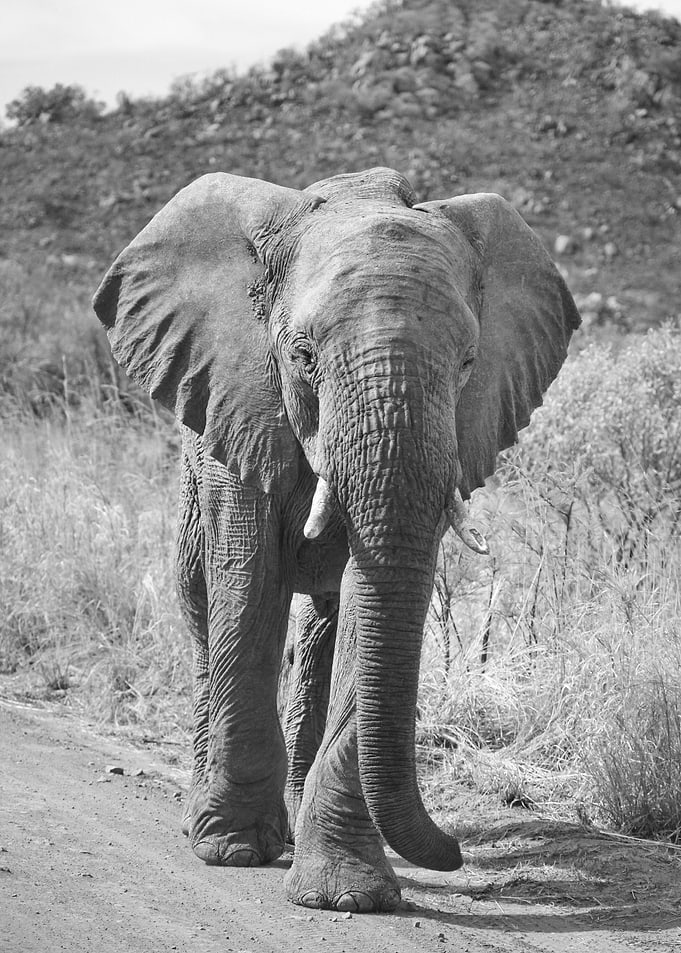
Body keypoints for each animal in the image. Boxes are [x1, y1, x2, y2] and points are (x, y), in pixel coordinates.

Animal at [93, 166, 580, 913]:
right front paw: (234, 851)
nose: (453, 853)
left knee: (321, 624)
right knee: (203, 604)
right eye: (301, 355)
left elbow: (368, 603)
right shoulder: (242, 403)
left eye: (469, 361)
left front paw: (345, 896)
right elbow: (248, 582)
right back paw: (208, 821)